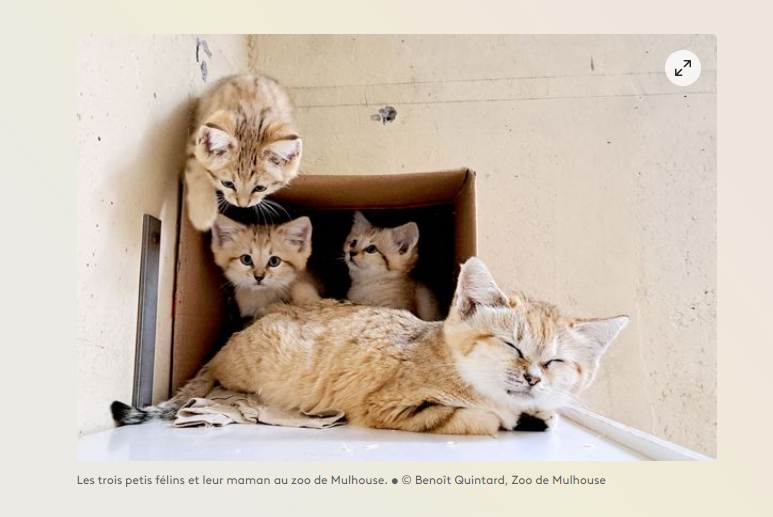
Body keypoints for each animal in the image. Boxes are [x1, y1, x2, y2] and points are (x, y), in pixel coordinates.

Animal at [110, 256, 628, 434]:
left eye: (555, 361)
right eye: (512, 347)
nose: (533, 377)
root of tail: (223, 347)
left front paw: (539, 411)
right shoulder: (392, 407)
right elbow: (476, 418)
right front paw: (510, 417)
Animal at [185, 74, 304, 230]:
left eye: (260, 188)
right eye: (227, 183)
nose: (242, 205)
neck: (250, 118)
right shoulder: (195, 140)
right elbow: (197, 169)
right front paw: (203, 213)